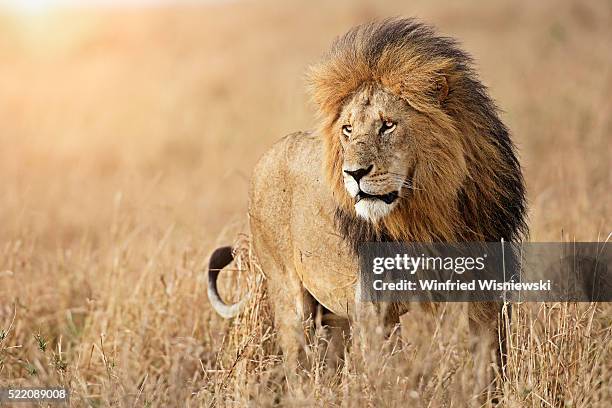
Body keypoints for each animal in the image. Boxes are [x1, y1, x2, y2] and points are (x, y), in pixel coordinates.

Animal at [206, 18, 524, 398]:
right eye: (347, 129)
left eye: (387, 125)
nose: (353, 173)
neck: (427, 214)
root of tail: (267, 155)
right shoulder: (375, 308)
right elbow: (389, 374)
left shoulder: (487, 290)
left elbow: (488, 365)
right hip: (289, 297)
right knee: (298, 367)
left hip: (334, 315)